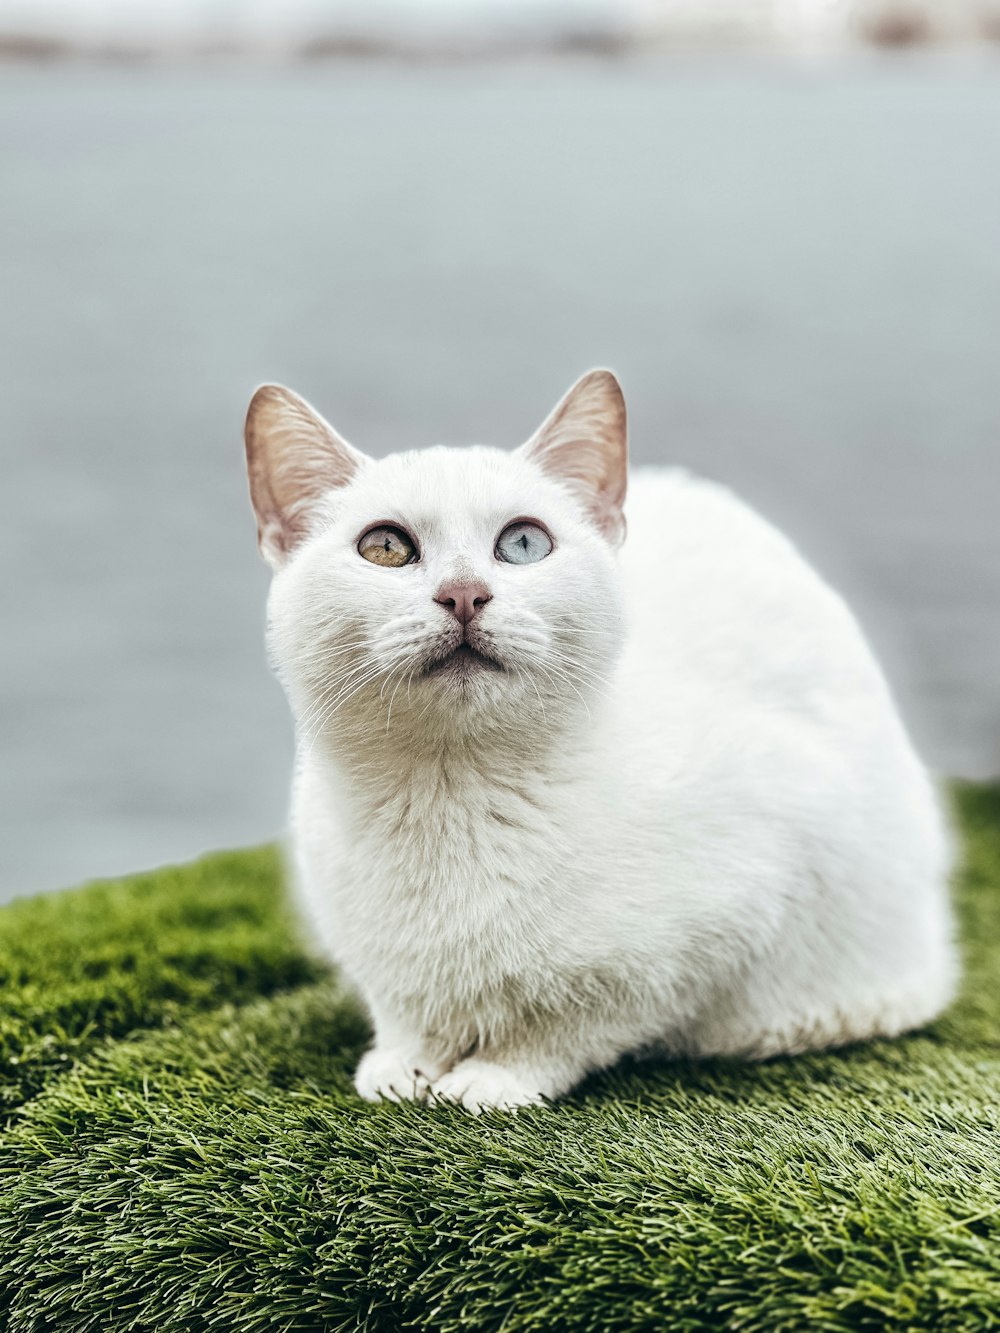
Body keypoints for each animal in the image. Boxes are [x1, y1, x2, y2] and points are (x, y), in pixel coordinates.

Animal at [246, 370, 960, 1109]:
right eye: (385, 547)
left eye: (523, 544)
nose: (464, 593)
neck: (452, 792)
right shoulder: (380, 959)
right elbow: (408, 1012)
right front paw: (402, 1066)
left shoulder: (731, 918)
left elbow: (572, 1023)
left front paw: (494, 1079)